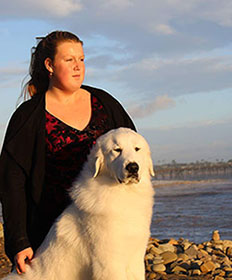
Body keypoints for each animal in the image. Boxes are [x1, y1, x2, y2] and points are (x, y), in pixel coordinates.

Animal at [4, 128, 154, 278]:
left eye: (137, 149)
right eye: (117, 150)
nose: (133, 167)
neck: (124, 193)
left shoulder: (135, 259)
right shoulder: (109, 262)